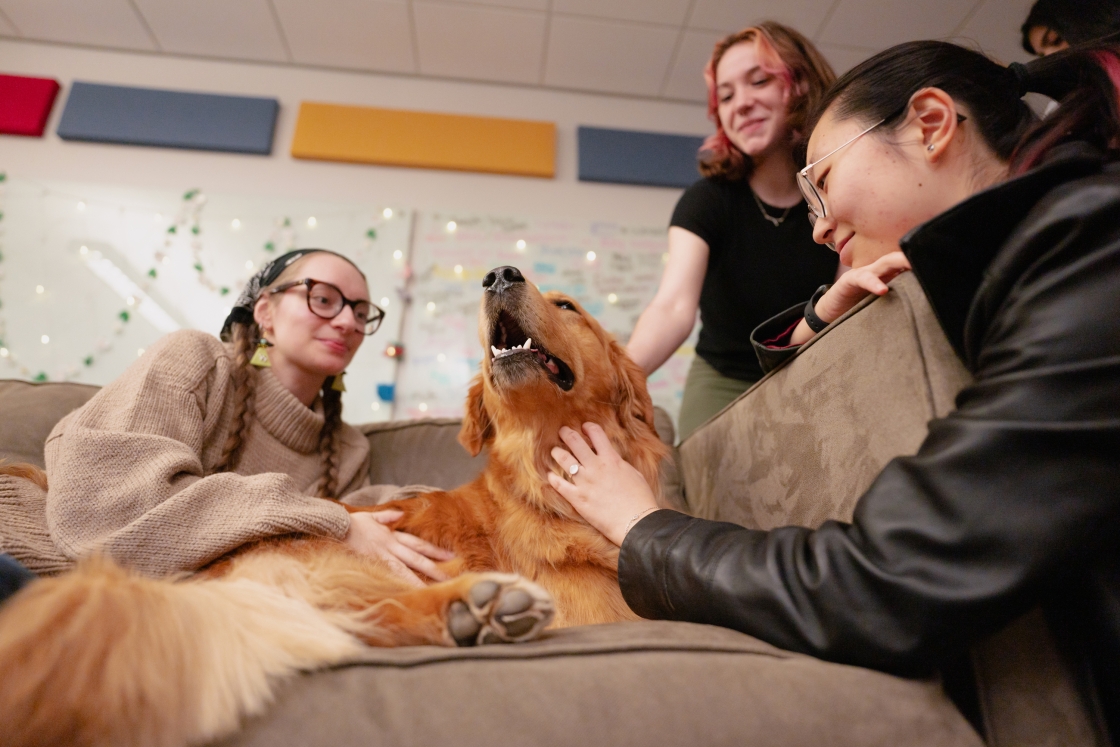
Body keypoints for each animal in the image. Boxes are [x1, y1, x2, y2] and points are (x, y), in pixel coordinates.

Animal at [0, 265, 667, 743]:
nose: (500, 275)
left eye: (568, 306)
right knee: (361, 618)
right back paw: (475, 607)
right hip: (355, 568)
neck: (542, 471)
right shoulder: (602, 616)